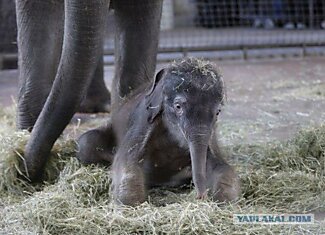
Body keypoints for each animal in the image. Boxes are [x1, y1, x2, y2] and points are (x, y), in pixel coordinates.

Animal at [77, 57, 239, 205]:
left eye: (218, 112)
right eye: (178, 106)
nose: (201, 197)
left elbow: (221, 165)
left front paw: (224, 201)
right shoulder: (143, 118)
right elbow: (126, 160)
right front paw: (129, 203)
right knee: (86, 143)